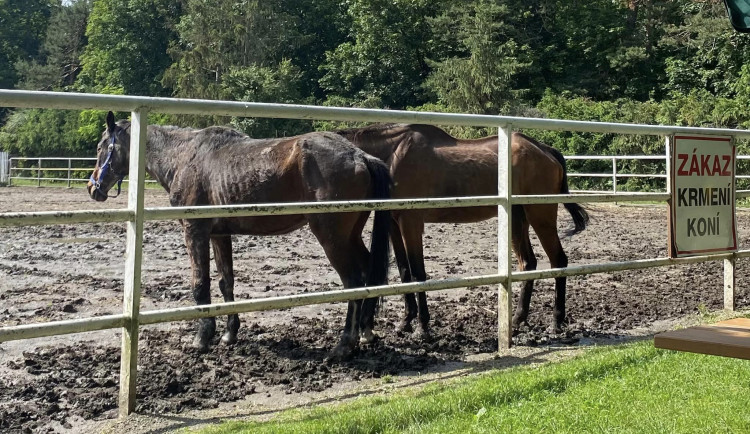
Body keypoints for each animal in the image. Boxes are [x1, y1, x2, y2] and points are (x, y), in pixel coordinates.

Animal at [88, 111, 390, 360]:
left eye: (101, 146)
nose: (93, 188)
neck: (184, 157)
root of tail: (360, 156)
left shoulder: (194, 231)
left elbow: (200, 285)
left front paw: (202, 338)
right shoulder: (219, 235)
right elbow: (226, 283)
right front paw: (229, 333)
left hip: (332, 238)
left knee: (353, 281)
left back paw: (344, 344)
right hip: (350, 236)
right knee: (368, 273)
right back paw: (365, 332)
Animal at [338, 124, 592, 338]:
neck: (394, 154)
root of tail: (545, 150)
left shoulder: (411, 222)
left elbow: (418, 273)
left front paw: (422, 327)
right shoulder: (394, 224)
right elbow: (404, 272)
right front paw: (406, 321)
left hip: (541, 215)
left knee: (558, 260)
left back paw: (556, 321)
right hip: (517, 219)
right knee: (528, 263)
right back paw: (519, 318)